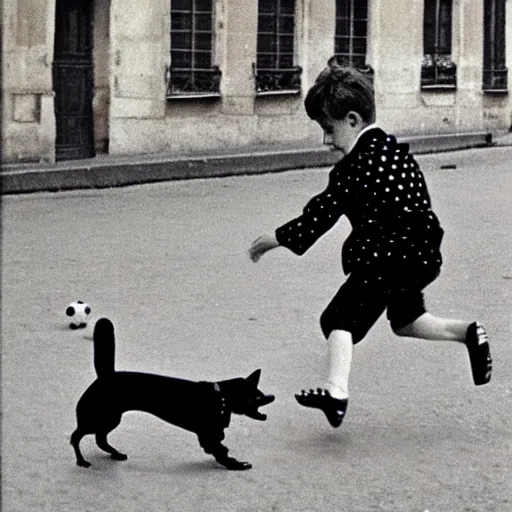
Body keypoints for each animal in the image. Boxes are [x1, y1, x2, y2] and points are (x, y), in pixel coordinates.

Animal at [71, 318, 276, 470]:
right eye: (257, 396)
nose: (272, 397)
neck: (221, 397)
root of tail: (105, 375)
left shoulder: (212, 435)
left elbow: (219, 448)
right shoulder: (208, 434)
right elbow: (220, 451)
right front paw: (235, 464)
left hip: (109, 418)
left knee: (100, 439)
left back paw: (116, 454)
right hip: (97, 417)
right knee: (76, 436)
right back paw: (81, 461)